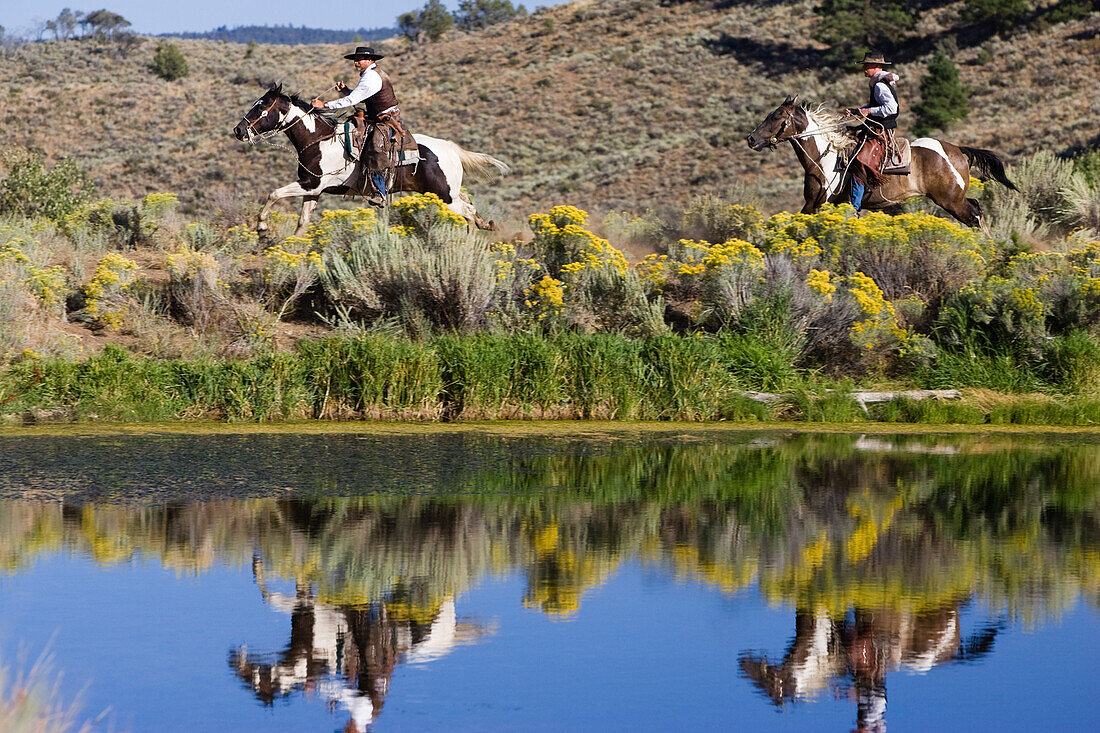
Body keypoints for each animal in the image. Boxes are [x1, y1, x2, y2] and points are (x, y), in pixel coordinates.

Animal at [234, 85, 508, 234]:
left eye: (262, 107)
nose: (238, 130)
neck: (319, 140)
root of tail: (451, 148)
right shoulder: (313, 190)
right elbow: (302, 222)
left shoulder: (311, 185)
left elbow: (274, 194)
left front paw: (262, 229)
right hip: (447, 192)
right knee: (469, 204)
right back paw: (483, 226)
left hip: (445, 196)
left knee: (468, 211)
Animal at [743, 96, 1016, 226]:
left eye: (776, 117)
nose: (751, 138)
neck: (825, 158)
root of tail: (957, 150)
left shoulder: (814, 204)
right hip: (954, 199)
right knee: (976, 209)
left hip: (950, 200)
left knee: (974, 216)